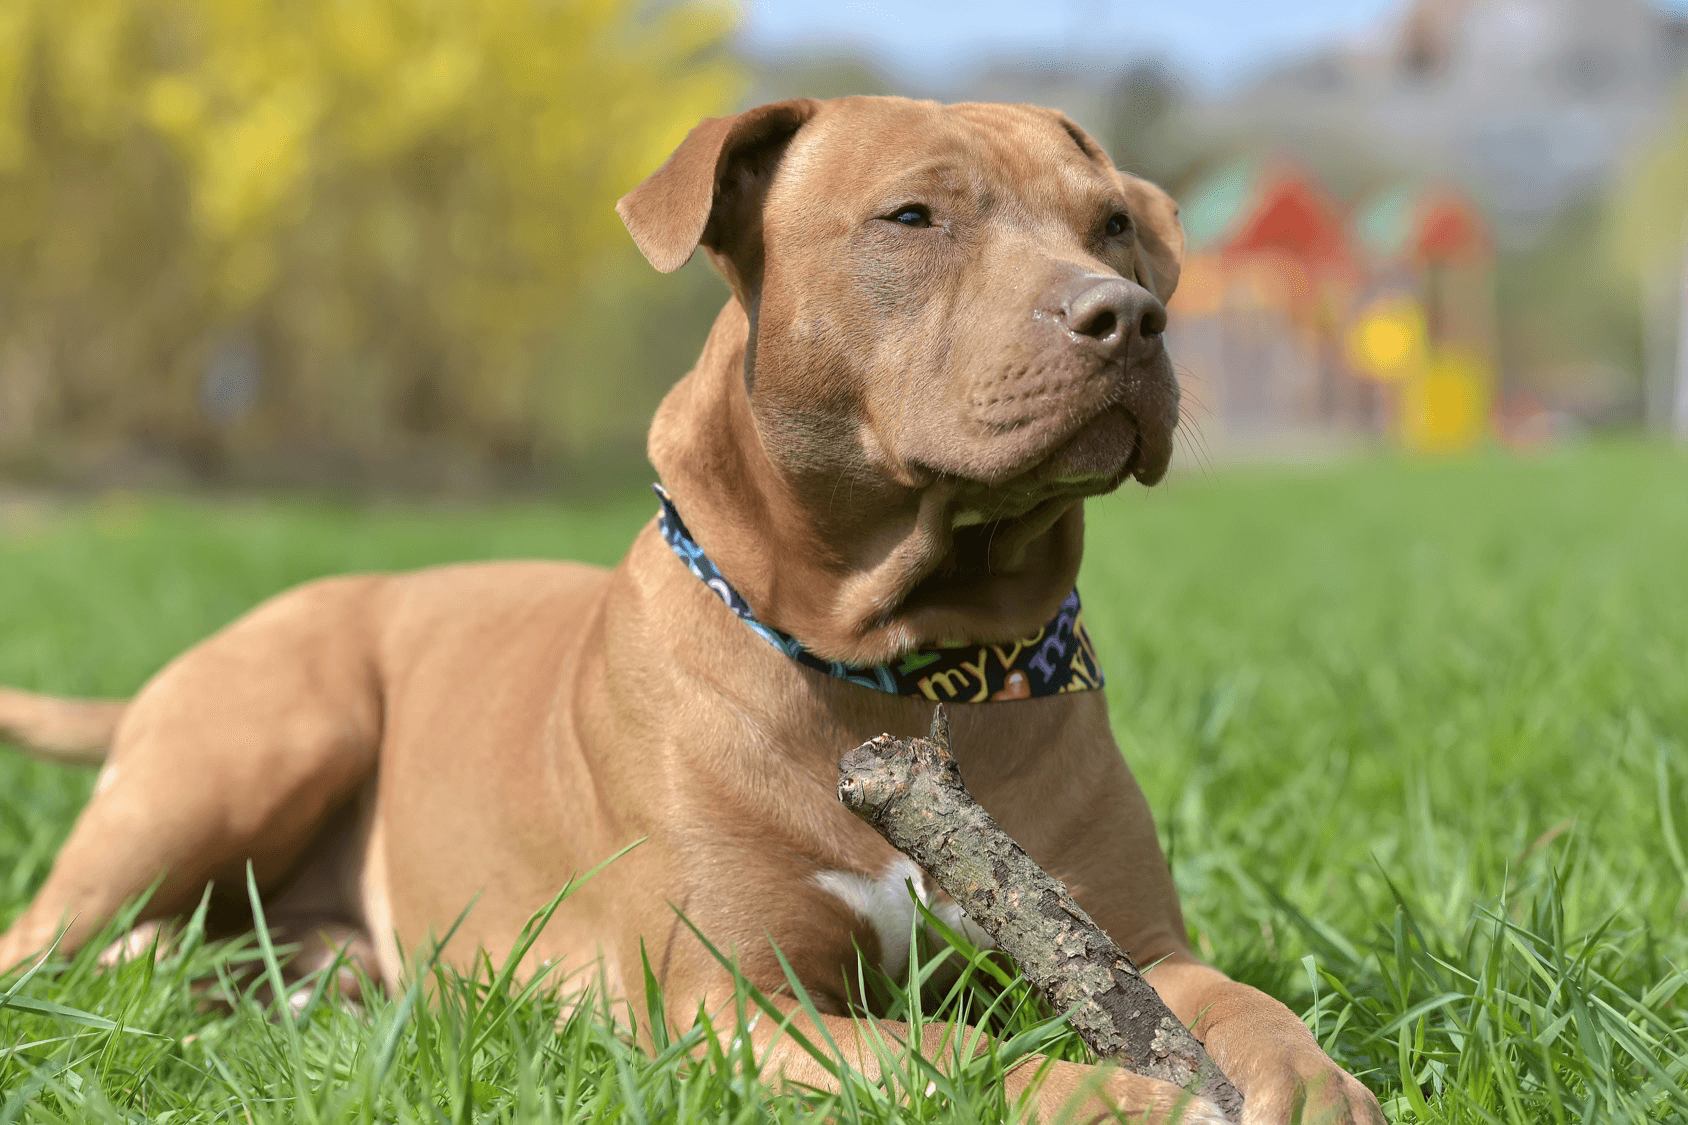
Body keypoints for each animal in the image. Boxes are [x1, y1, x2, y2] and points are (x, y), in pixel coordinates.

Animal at [0, 96, 1377, 1121]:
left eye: (1111, 224)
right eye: (913, 216)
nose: (1126, 314)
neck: (900, 668)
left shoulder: (1127, 946)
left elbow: (1241, 1006)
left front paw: (1308, 1080)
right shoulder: (735, 1006)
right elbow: (946, 1053)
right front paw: (1111, 1095)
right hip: (263, 736)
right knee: (47, 940)